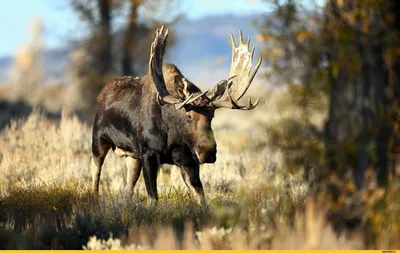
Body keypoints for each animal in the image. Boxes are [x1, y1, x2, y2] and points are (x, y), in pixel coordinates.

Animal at [90, 25, 262, 204]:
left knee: (128, 186)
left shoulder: (188, 161)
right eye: (188, 116)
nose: (208, 152)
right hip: (99, 140)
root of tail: (102, 92)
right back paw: (93, 198)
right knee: (95, 172)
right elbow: (153, 197)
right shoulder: (148, 154)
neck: (172, 136)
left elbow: (201, 197)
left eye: (212, 116)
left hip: (132, 155)